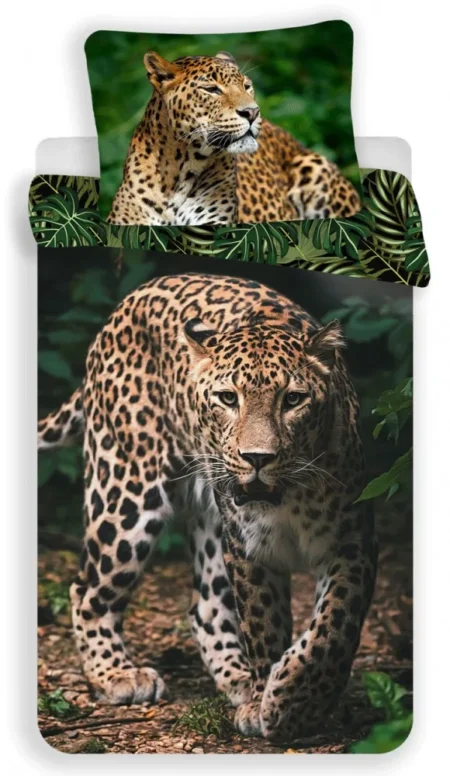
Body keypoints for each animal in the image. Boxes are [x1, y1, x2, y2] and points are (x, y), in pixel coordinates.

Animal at [38, 273, 377, 740]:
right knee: (87, 588)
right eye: (227, 398)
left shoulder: (352, 542)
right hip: (127, 490)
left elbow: (333, 627)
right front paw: (273, 702)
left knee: (206, 606)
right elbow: (264, 626)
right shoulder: (249, 549)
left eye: (293, 400)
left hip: (209, 521)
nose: (257, 458)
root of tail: (126, 303)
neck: (288, 498)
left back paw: (238, 679)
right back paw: (117, 675)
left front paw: (295, 699)